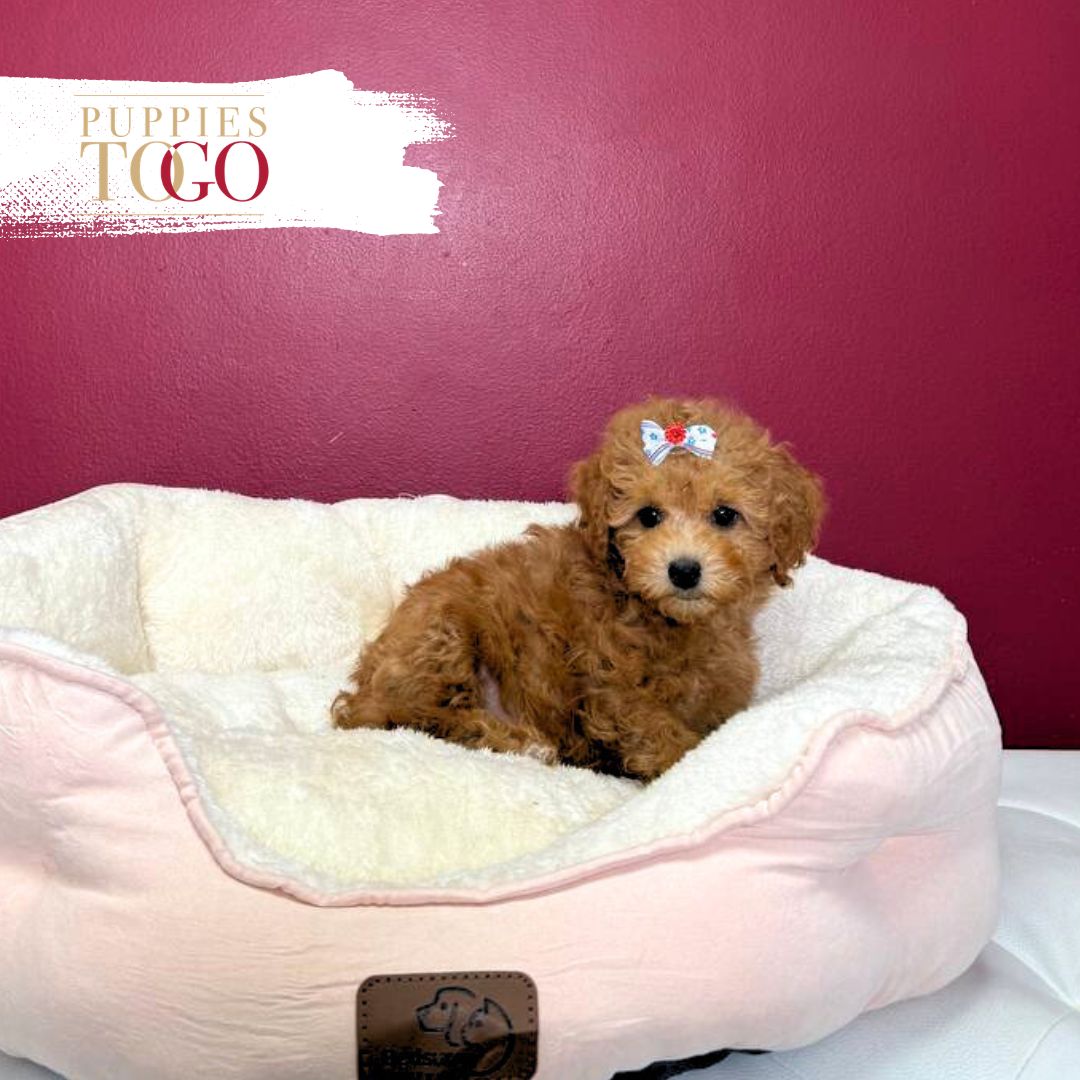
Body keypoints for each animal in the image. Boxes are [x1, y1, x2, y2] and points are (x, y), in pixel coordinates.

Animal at [332, 397, 824, 780]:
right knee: (415, 717)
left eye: (724, 515)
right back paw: (519, 741)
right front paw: (685, 763)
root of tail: (365, 681)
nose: (684, 570)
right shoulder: (612, 687)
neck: (672, 622)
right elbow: (658, 730)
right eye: (649, 516)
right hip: (444, 634)